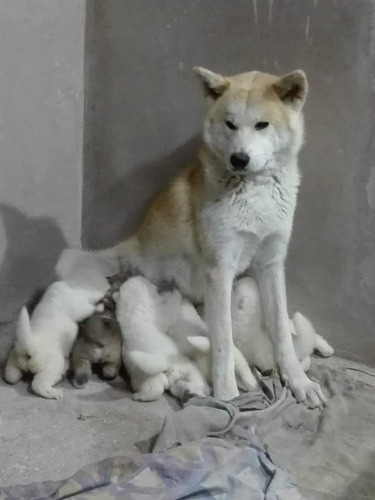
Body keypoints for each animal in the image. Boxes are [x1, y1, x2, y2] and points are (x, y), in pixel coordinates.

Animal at [3, 270, 108, 398]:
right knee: (38, 384)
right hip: (52, 367)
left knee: (11, 376)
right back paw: (54, 393)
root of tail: (28, 346)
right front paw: (101, 302)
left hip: (13, 362)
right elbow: (90, 308)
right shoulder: (79, 306)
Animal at [58, 66, 326, 408]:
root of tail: (128, 245)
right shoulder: (219, 270)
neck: (253, 192)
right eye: (230, 123)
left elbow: (281, 331)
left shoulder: (271, 263)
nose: (239, 159)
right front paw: (226, 395)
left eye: (262, 124)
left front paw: (299, 381)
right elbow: (223, 342)